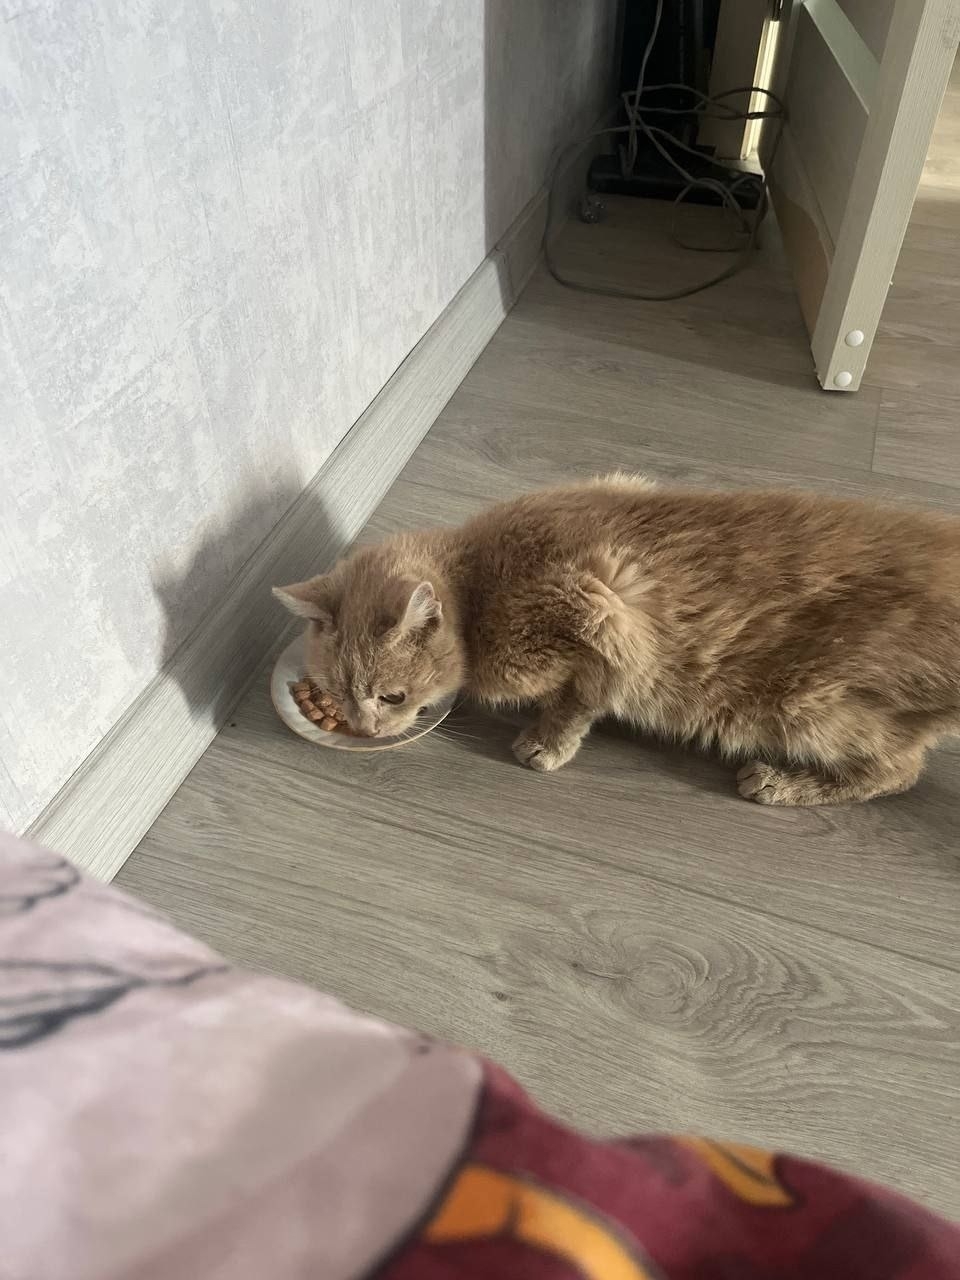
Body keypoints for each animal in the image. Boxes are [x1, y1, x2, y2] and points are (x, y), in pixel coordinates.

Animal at [274, 474, 960, 806]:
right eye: (335, 690)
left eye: (389, 697)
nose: (364, 729)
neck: (481, 584)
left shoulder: (603, 618)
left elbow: (582, 695)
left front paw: (546, 742)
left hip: (808, 707)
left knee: (899, 771)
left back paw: (783, 784)